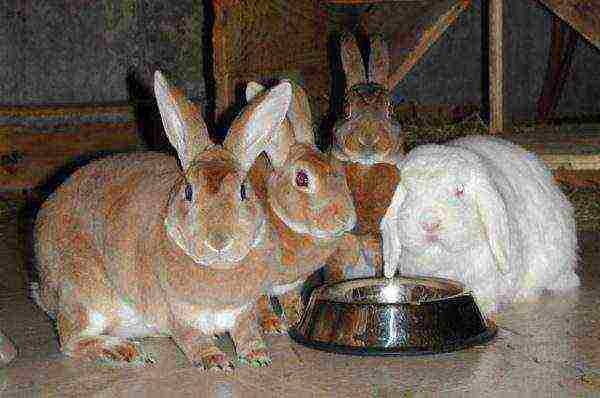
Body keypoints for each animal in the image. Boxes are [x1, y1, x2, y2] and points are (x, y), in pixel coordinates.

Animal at [32, 70, 292, 370]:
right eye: (189, 192)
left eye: (243, 191)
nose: (219, 241)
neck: (218, 268)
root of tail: (45, 291)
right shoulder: (175, 314)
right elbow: (192, 337)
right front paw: (214, 360)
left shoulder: (243, 311)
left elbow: (247, 331)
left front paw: (258, 356)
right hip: (85, 295)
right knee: (70, 340)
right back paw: (126, 351)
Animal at [241, 80, 364, 332]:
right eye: (302, 178)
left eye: (334, 169)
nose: (346, 218)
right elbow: (260, 302)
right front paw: (272, 325)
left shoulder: (294, 282)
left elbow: (290, 296)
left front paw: (296, 317)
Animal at [380, 134, 580, 324]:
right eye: (409, 191)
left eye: (460, 190)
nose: (430, 223)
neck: (442, 254)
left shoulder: (486, 278)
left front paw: (482, 307)